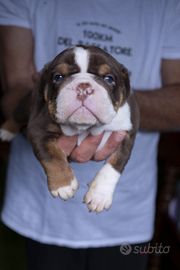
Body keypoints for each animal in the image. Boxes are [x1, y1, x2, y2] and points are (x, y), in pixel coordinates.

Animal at [0, 44, 139, 213]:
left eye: (109, 79)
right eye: (58, 77)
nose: (84, 87)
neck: (84, 127)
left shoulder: (126, 134)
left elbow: (114, 166)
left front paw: (99, 195)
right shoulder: (37, 128)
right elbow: (51, 154)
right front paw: (63, 184)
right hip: (26, 105)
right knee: (16, 116)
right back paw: (6, 131)